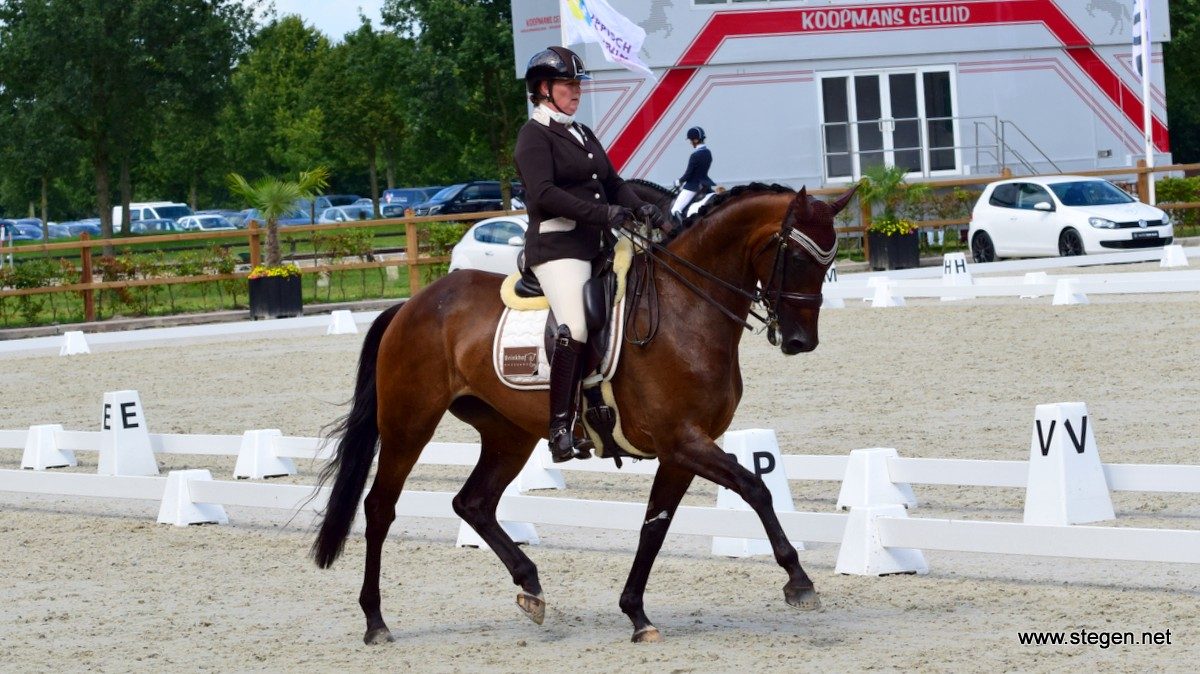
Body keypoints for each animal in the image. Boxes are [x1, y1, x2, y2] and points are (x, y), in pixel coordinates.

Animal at [309, 181, 854, 642]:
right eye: (796, 254)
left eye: (828, 258)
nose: (802, 341)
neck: (686, 310)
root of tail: (409, 306)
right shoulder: (683, 440)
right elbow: (755, 488)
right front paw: (799, 581)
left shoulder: (681, 451)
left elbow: (654, 527)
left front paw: (636, 613)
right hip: (409, 424)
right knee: (380, 508)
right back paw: (376, 621)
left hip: (508, 434)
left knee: (473, 503)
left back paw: (530, 587)